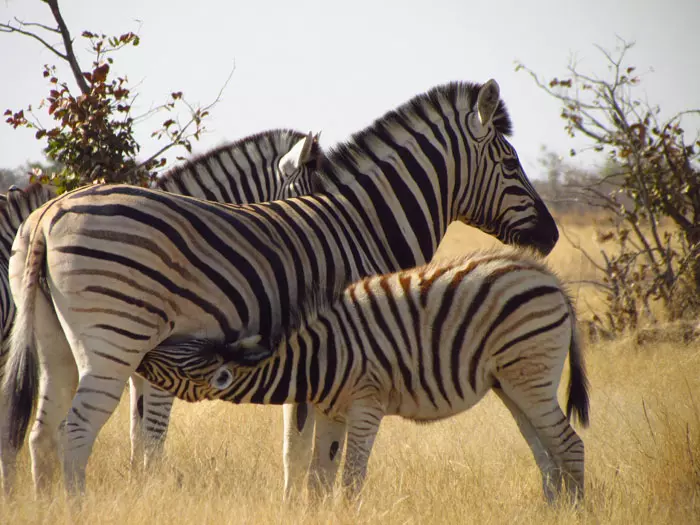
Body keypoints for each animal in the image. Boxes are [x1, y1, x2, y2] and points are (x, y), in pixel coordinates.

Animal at [1, 78, 556, 496]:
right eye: (511, 164)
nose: (551, 237)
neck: (364, 225)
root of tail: (47, 216)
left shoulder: (314, 359)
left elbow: (297, 452)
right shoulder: (341, 346)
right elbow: (316, 456)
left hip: (56, 344)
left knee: (41, 433)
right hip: (115, 341)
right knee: (75, 431)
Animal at [139, 250, 588, 504]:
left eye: (175, 363)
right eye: (176, 347)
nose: (140, 356)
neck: (317, 360)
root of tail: (549, 278)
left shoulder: (366, 406)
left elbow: (351, 479)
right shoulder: (330, 413)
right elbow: (319, 479)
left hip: (530, 376)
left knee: (570, 445)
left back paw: (577, 510)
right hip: (511, 385)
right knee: (547, 453)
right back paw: (554, 510)